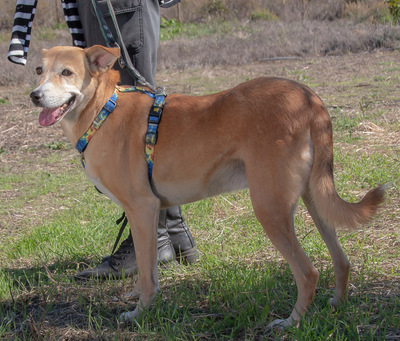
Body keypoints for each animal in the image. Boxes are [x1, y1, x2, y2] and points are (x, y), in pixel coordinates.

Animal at [29, 45, 386, 326]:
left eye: (66, 72)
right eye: (38, 70)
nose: (35, 96)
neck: (103, 109)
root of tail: (309, 98)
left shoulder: (142, 209)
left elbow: (147, 273)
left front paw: (139, 314)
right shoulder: (148, 213)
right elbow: (149, 270)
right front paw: (140, 300)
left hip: (269, 207)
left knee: (308, 273)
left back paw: (290, 323)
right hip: (315, 198)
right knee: (341, 261)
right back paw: (336, 304)